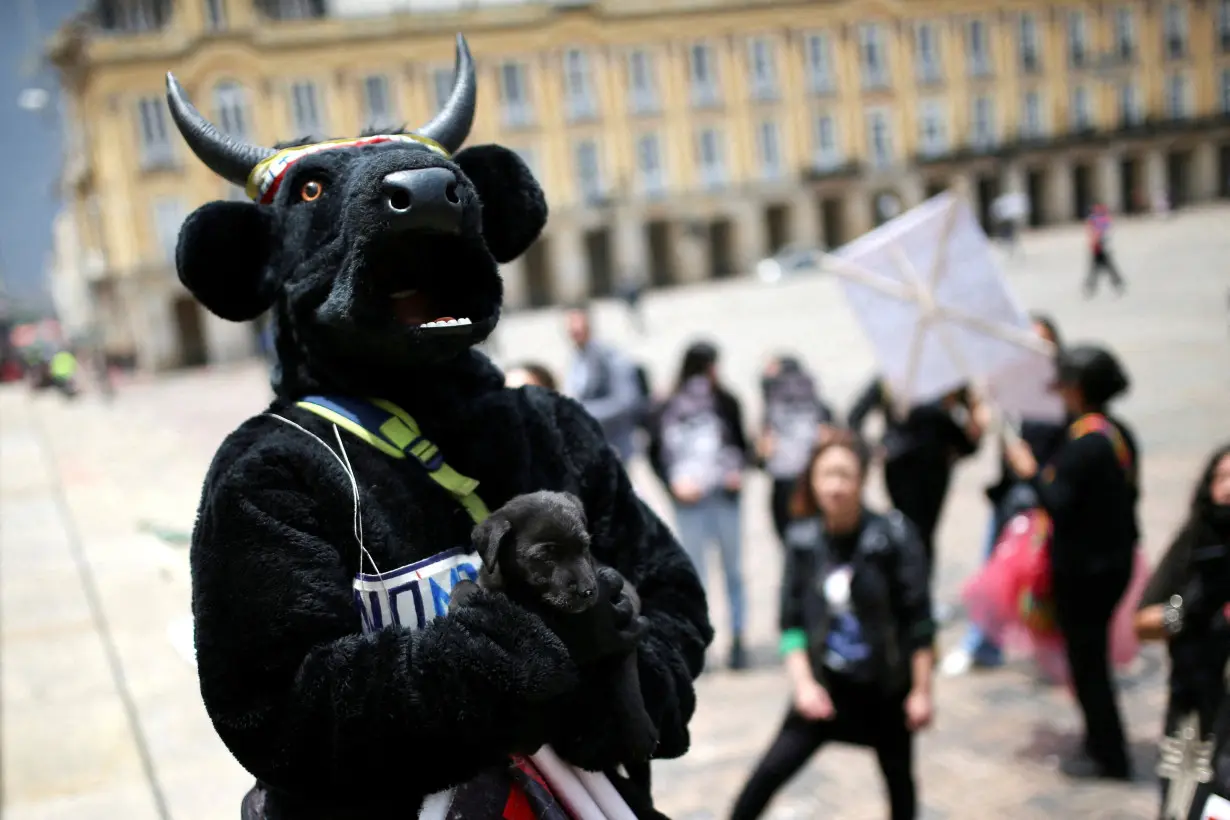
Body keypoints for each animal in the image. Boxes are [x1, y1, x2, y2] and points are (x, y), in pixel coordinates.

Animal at [452, 491, 664, 767]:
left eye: (584, 547)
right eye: (545, 557)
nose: (588, 591)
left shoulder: (626, 615)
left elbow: (625, 678)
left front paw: (640, 732)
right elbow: (467, 586)